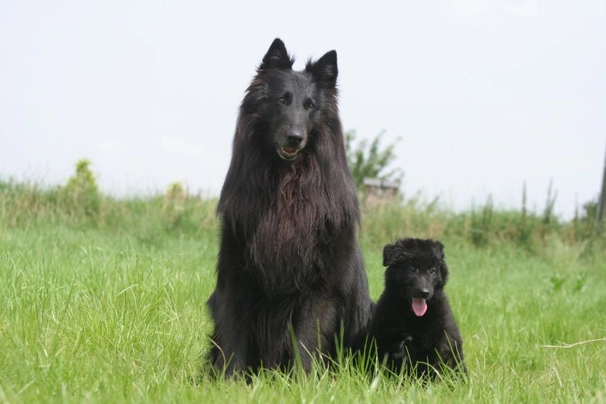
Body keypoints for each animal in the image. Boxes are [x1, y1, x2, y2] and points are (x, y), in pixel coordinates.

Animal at [207, 39, 372, 378]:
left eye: (310, 106)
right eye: (282, 100)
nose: (295, 138)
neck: (287, 188)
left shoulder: (320, 287)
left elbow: (307, 341)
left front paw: (304, 382)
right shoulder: (237, 277)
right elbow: (233, 338)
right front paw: (229, 382)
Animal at [366, 238, 470, 378]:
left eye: (432, 270)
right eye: (411, 269)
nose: (424, 292)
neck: (411, 316)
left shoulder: (436, 345)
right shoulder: (385, 342)